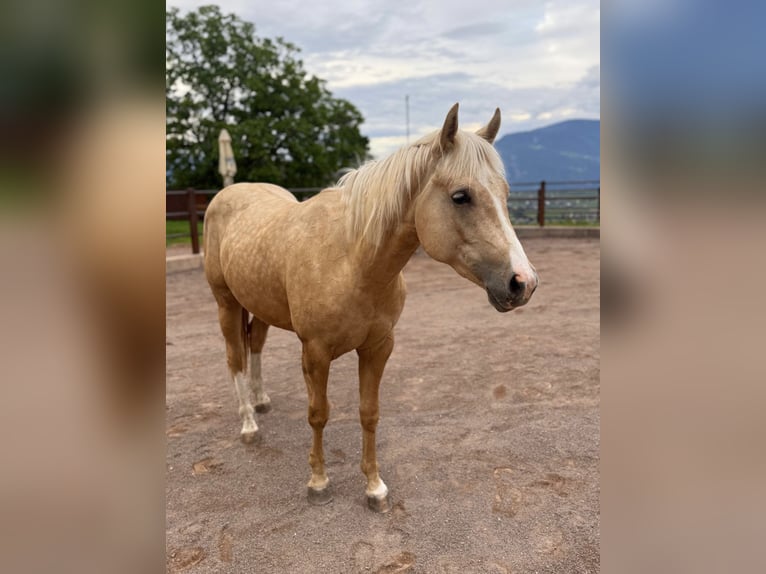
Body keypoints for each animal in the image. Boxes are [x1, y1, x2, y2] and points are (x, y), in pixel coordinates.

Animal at [203, 104, 538, 512]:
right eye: (461, 196)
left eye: (505, 193)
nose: (523, 282)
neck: (352, 261)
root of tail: (227, 194)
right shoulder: (315, 353)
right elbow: (318, 414)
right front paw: (319, 482)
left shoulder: (378, 347)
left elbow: (369, 413)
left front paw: (374, 487)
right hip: (226, 303)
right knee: (235, 357)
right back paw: (249, 423)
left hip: (259, 304)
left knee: (255, 345)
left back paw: (261, 399)